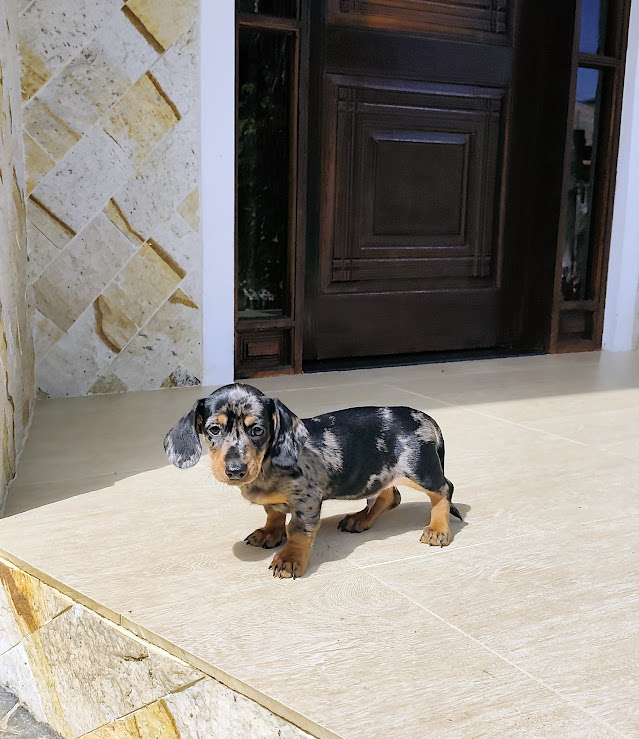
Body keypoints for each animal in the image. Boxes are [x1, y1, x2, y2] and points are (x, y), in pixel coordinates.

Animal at [164, 383, 461, 579]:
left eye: (258, 430)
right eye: (213, 429)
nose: (235, 470)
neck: (267, 465)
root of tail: (427, 417)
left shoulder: (307, 498)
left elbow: (298, 530)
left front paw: (289, 559)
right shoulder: (276, 502)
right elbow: (273, 513)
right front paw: (270, 533)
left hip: (419, 470)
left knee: (444, 490)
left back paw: (438, 529)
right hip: (377, 476)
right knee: (390, 496)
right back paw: (360, 519)